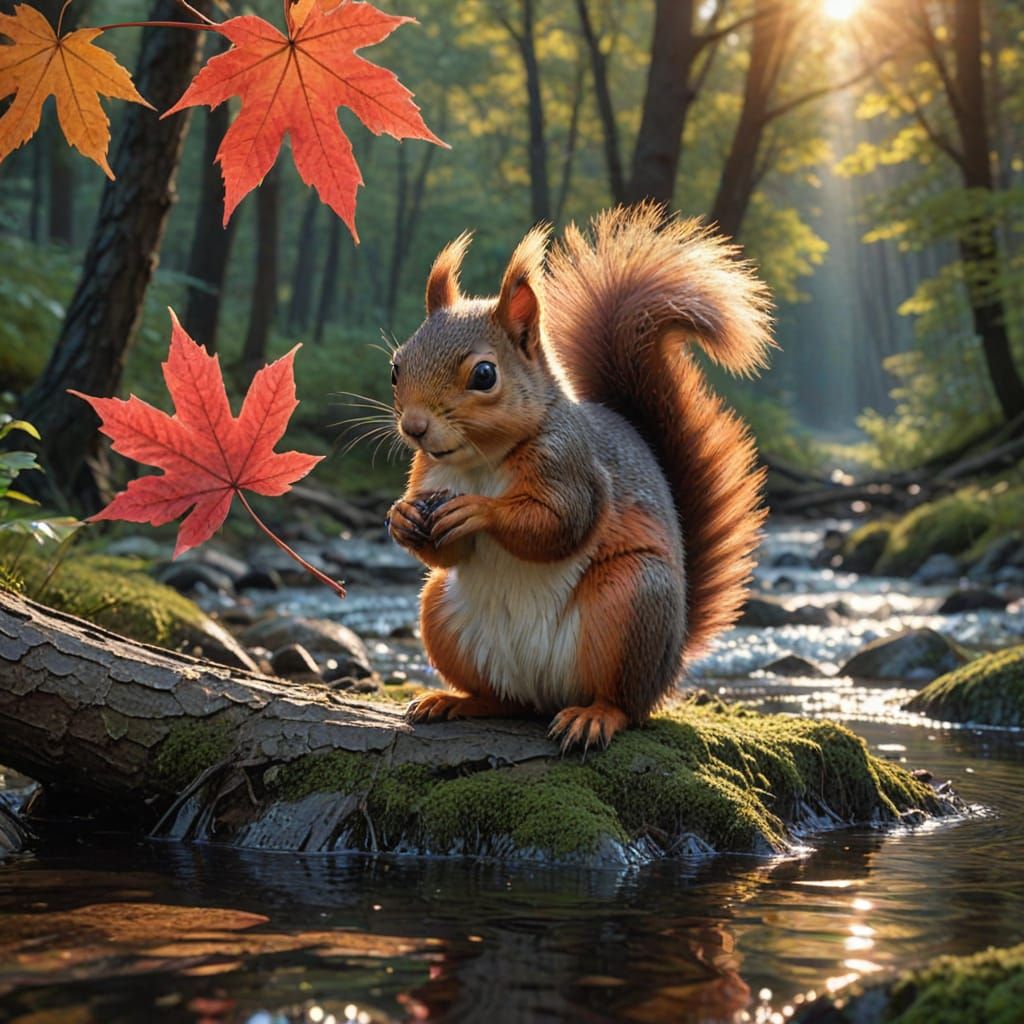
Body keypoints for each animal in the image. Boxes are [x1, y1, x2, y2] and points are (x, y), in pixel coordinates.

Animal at [386, 204, 774, 751]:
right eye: (396, 368)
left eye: (484, 375)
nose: (415, 427)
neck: (479, 462)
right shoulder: (427, 475)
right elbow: (447, 552)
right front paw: (400, 518)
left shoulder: (572, 466)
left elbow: (559, 524)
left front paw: (479, 511)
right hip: (440, 610)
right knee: (502, 699)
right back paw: (456, 701)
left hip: (632, 601)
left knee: (624, 702)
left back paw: (594, 717)